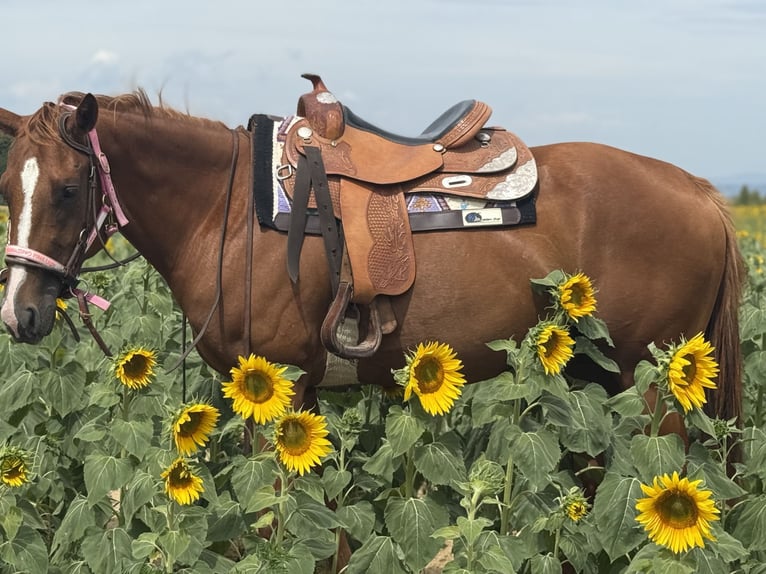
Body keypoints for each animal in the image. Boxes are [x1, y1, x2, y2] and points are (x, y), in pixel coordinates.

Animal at [0, 85, 744, 430]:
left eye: (67, 189)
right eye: (7, 187)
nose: (18, 315)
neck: (228, 211)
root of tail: (699, 191)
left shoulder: (279, 381)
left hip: (652, 385)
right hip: (596, 372)